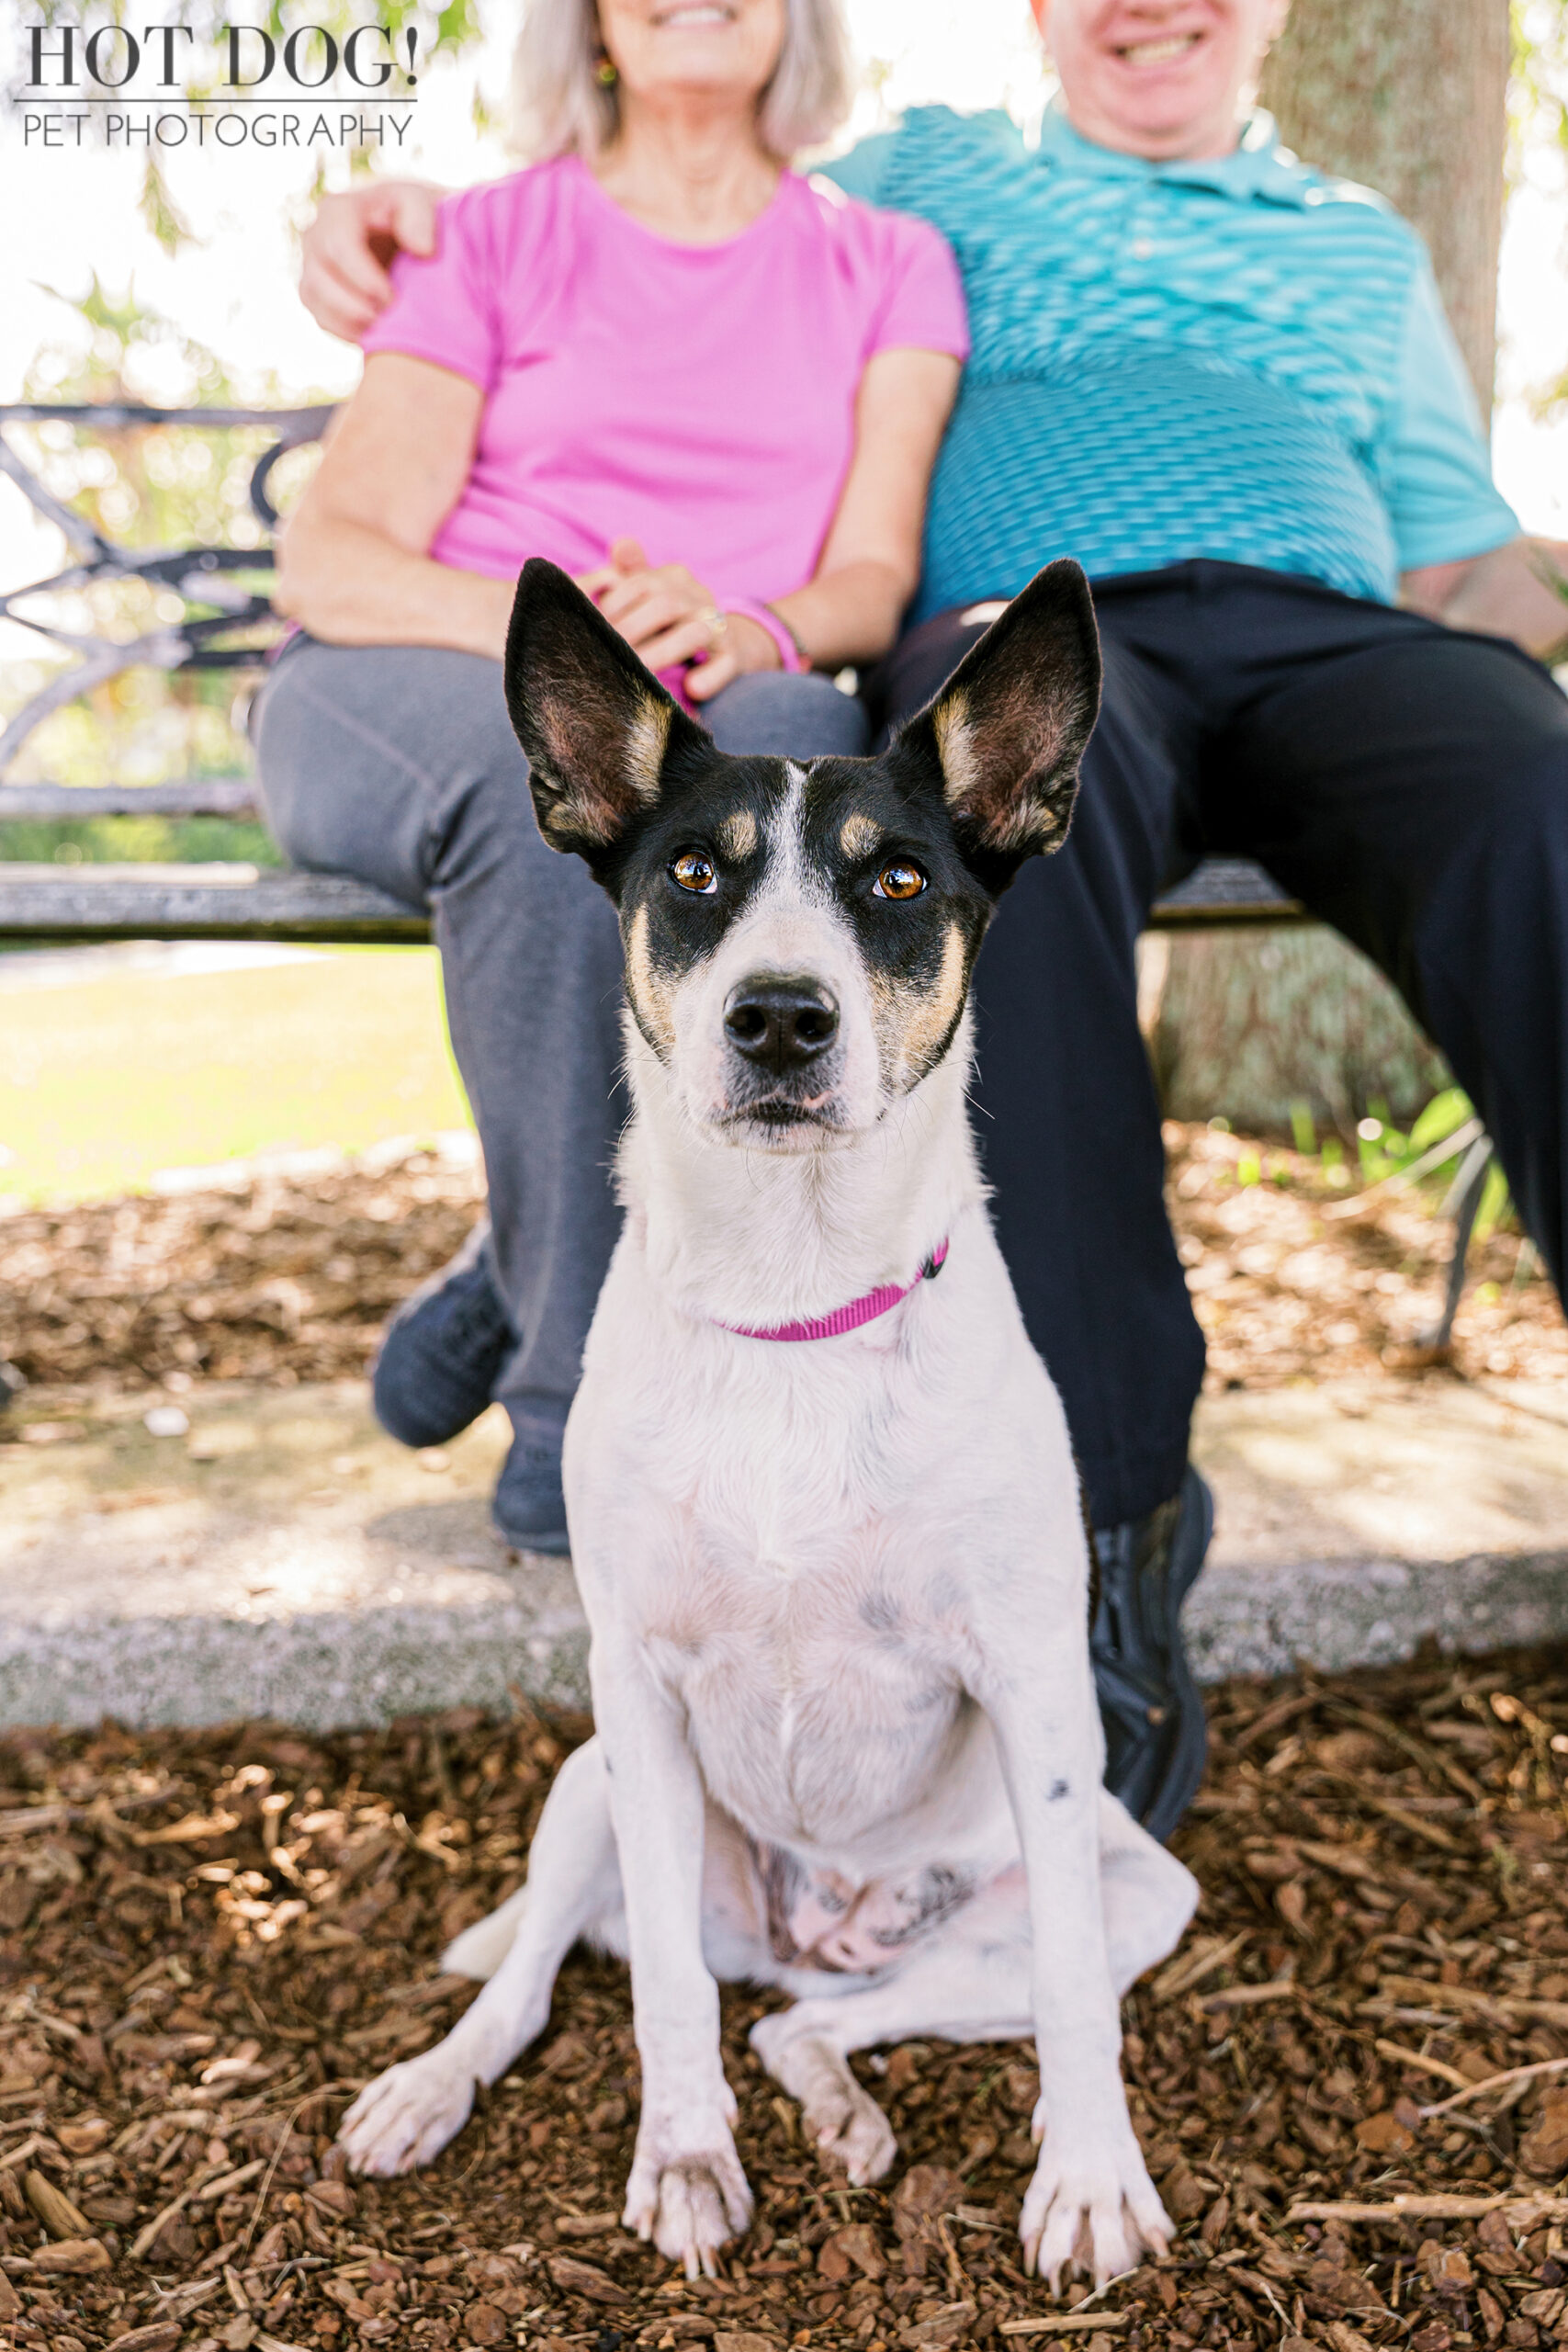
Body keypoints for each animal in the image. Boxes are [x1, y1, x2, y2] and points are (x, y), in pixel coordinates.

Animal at [338, 555, 1194, 2295]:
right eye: (690, 874)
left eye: (898, 884)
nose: (782, 1019)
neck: (793, 1305)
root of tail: (813, 1921)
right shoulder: (637, 1691)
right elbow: (662, 1991)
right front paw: (682, 2162)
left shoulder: (1037, 1696)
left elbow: (1073, 1997)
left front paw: (1087, 2179)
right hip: (586, 1788)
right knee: (546, 1984)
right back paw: (429, 2090)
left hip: (1131, 1884)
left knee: (822, 2022)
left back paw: (849, 2108)